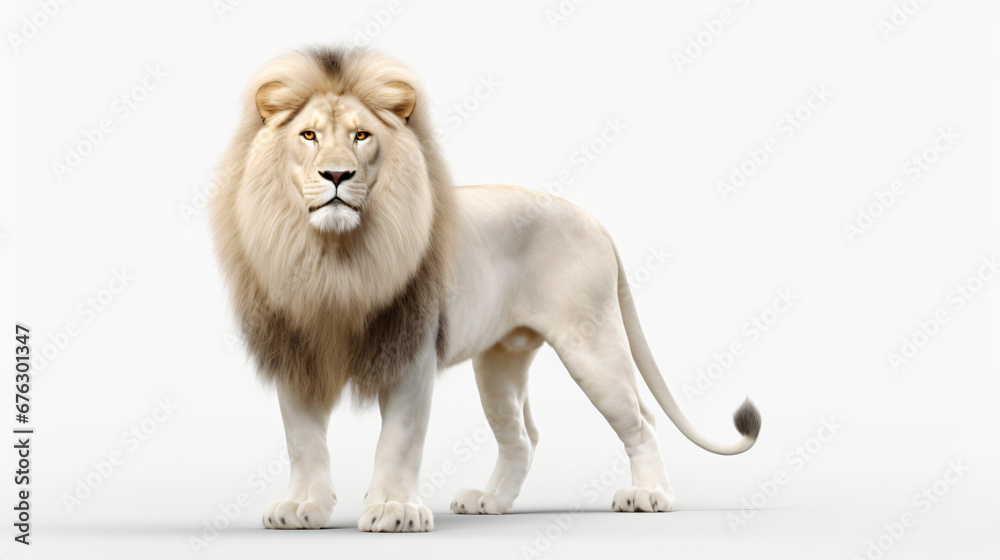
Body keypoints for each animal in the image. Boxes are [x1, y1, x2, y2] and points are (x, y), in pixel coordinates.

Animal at [209, 47, 760, 533]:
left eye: (361, 136)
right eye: (308, 135)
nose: (337, 174)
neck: (334, 255)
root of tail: (592, 218)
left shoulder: (411, 351)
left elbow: (400, 440)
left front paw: (394, 510)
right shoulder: (294, 350)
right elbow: (303, 440)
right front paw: (303, 508)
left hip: (591, 343)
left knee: (641, 419)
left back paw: (649, 495)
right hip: (500, 362)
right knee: (523, 437)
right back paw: (490, 501)